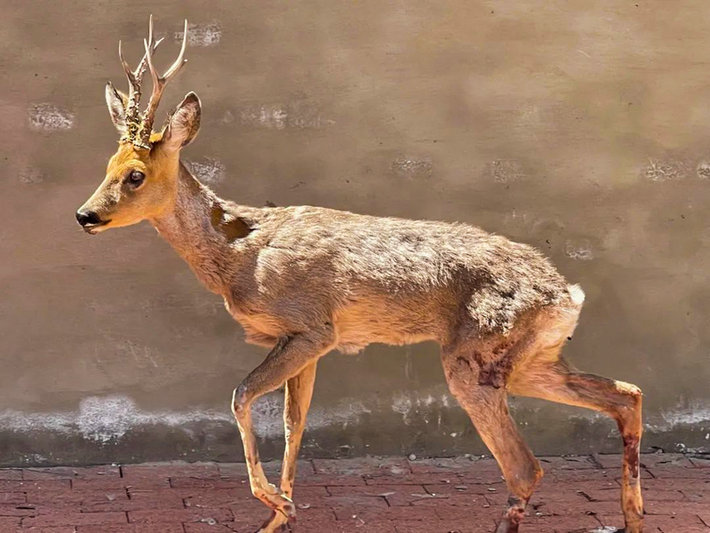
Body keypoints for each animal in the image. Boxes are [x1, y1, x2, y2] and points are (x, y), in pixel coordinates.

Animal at [76, 17, 644, 533]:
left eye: (135, 175)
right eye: (106, 166)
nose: (85, 215)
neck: (240, 256)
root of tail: (566, 293)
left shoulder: (311, 326)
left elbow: (241, 398)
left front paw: (275, 505)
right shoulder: (301, 341)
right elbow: (295, 425)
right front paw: (281, 516)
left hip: (476, 355)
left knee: (526, 467)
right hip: (532, 359)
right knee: (627, 395)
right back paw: (633, 517)